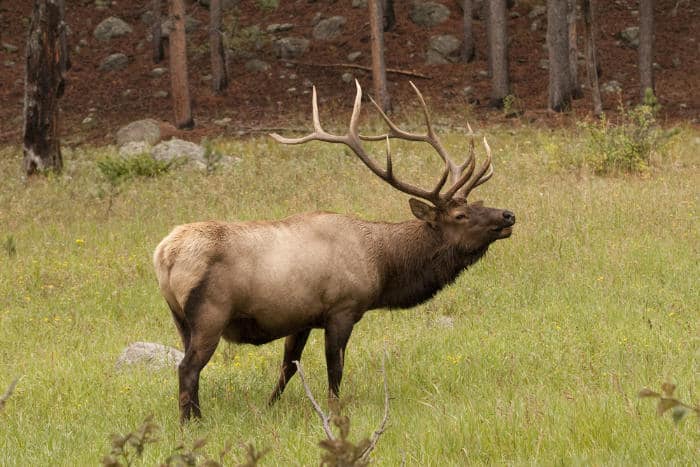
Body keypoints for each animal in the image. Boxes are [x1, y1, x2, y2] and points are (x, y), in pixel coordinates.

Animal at [153, 82, 516, 422]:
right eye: (460, 215)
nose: (508, 215)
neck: (382, 266)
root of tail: (164, 254)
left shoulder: (300, 317)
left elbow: (288, 366)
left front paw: (269, 408)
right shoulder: (342, 308)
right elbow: (335, 369)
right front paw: (334, 413)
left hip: (180, 319)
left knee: (190, 367)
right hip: (210, 313)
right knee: (187, 368)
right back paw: (191, 424)